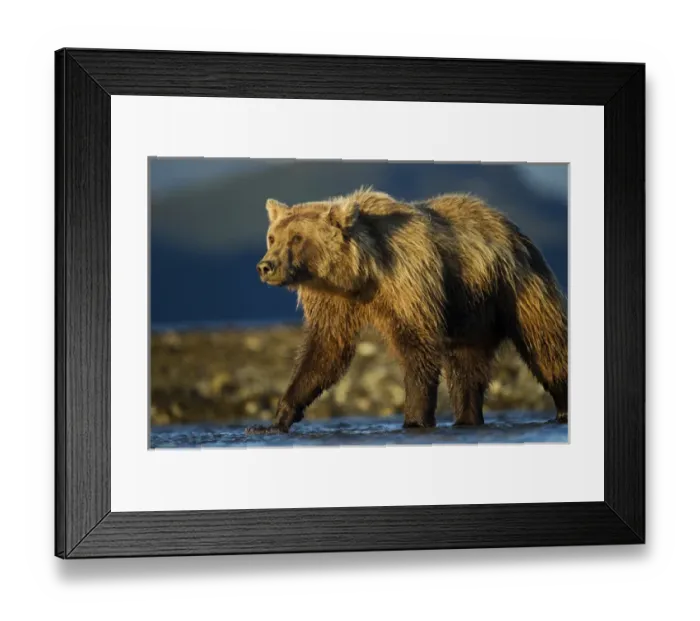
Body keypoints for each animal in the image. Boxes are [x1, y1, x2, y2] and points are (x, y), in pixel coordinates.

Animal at [247, 187, 567, 435]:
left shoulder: (408, 281)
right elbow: (325, 351)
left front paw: (414, 420)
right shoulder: (332, 299)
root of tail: (511, 227)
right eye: (273, 237)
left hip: (516, 287)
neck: (361, 274)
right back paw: (467, 418)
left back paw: (562, 408)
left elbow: (417, 346)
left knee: (545, 345)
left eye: (297, 238)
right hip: (472, 313)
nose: (266, 266)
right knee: (466, 366)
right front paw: (273, 421)